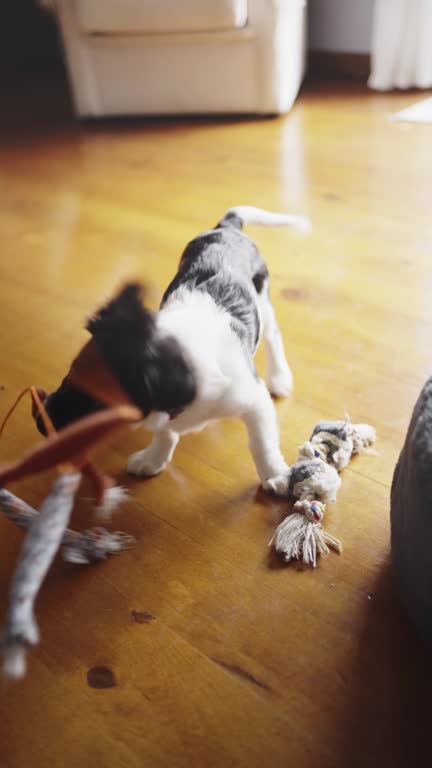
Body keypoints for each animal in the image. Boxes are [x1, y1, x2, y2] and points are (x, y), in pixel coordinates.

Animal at [41, 208, 310, 498]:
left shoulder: (254, 400)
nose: (41, 418)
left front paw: (275, 475)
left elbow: (261, 443)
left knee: (273, 336)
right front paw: (153, 458)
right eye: (69, 374)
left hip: (263, 303)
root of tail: (226, 227)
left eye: (97, 404)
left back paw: (279, 377)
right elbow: (166, 431)